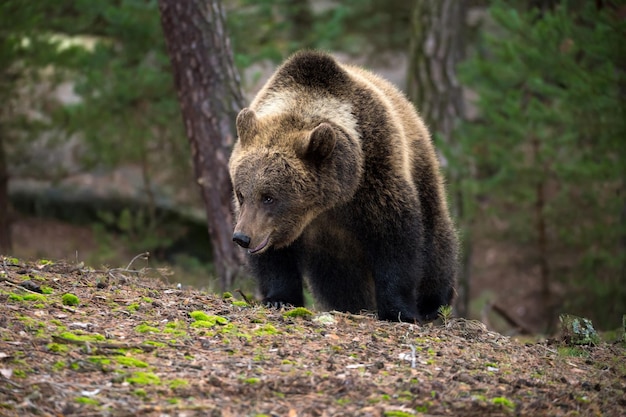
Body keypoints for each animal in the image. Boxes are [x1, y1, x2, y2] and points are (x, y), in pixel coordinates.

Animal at [229, 49, 458, 322]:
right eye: (241, 194)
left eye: (269, 196)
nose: (242, 237)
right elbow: (275, 257)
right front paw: (279, 298)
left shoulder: (375, 176)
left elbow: (396, 240)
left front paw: (398, 310)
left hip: (421, 167)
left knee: (435, 238)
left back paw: (434, 302)